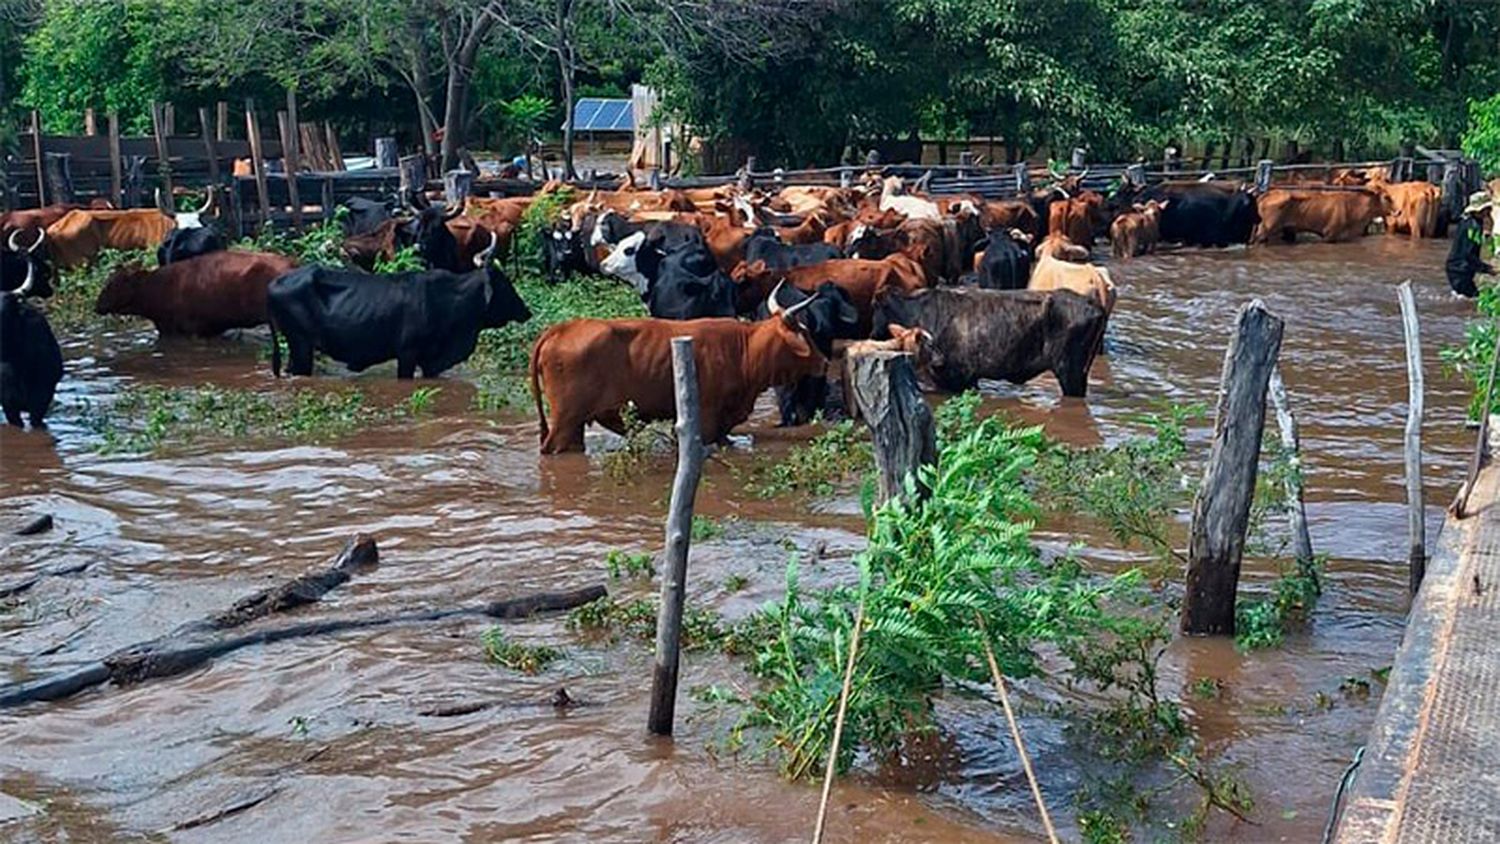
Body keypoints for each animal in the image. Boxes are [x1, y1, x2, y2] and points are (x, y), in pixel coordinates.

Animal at [267, 230, 531, 376]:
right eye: (505, 283)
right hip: (301, 346)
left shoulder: (429, 361)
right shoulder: (408, 353)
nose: (526, 312)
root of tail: (274, 283)